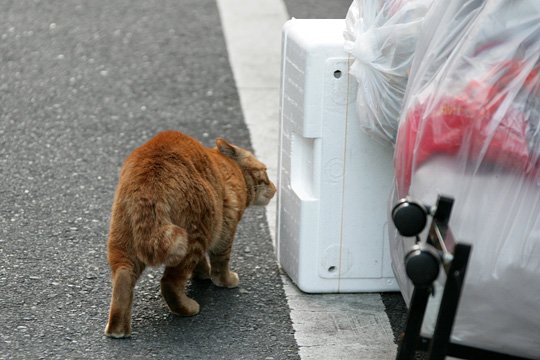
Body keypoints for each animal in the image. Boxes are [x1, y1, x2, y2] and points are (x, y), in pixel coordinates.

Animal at [104, 131, 276, 338]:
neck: (233, 170)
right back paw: (187, 308)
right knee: (169, 283)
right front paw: (225, 280)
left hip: (123, 244)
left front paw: (202, 274)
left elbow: (202, 263)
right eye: (265, 171)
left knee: (123, 279)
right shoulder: (226, 229)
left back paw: (117, 329)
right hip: (194, 235)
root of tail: (149, 181)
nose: (275, 188)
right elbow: (221, 263)